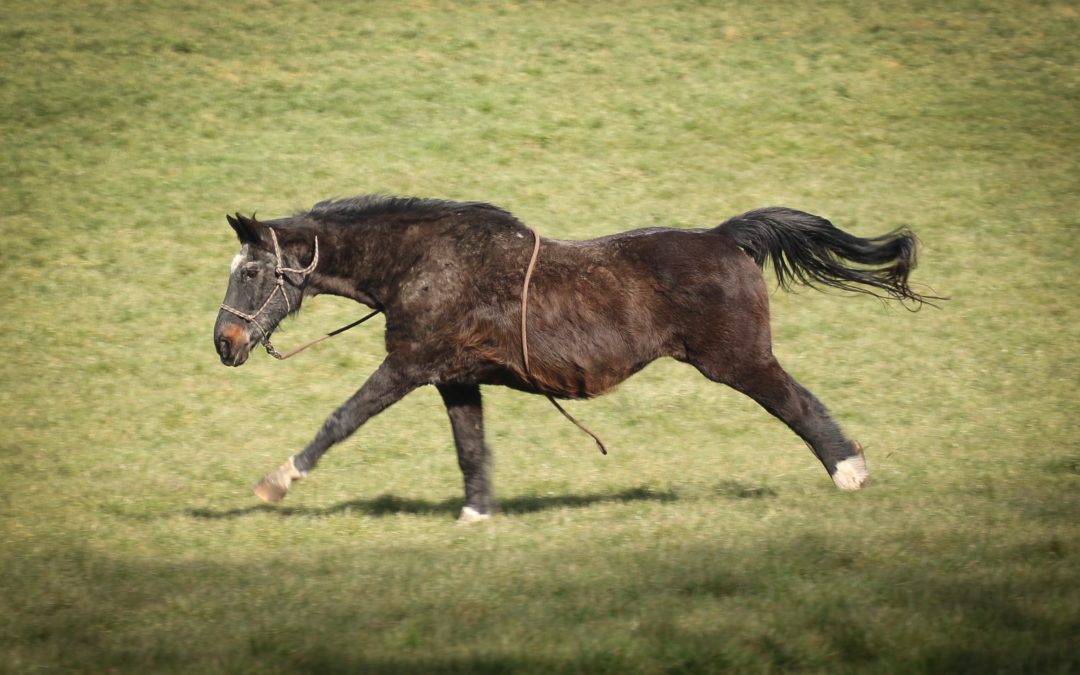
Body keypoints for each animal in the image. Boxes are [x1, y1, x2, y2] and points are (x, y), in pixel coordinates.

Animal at [214, 194, 933, 520]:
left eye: (251, 272)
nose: (225, 343)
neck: (424, 265)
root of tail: (725, 237)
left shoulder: (409, 365)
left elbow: (340, 420)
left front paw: (277, 480)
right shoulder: (454, 379)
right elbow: (470, 449)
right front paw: (477, 512)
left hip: (742, 361)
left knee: (800, 406)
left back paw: (850, 472)